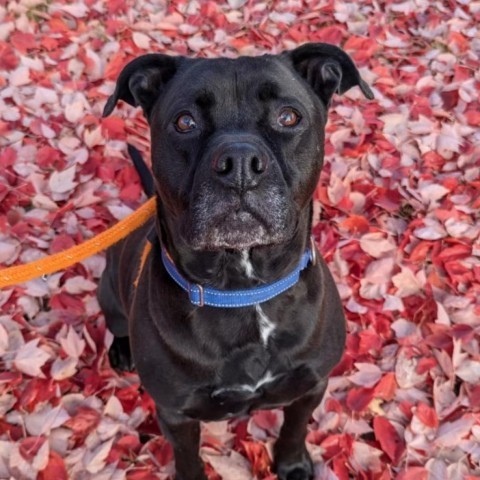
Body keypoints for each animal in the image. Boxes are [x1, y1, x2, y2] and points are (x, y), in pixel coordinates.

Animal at [99, 43, 374, 478]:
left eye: (288, 116)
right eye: (185, 122)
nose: (240, 163)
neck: (243, 291)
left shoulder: (311, 385)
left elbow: (295, 427)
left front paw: (292, 463)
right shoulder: (176, 414)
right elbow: (188, 458)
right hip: (107, 290)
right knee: (116, 322)